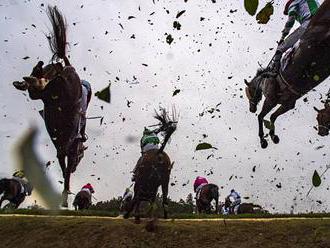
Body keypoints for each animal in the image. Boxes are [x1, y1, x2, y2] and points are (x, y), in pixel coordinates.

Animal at [12, 6, 88, 207]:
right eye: (81, 156)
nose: (77, 165)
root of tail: (68, 67)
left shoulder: (62, 149)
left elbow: (63, 166)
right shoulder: (68, 150)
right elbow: (66, 171)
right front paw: (65, 197)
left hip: (49, 80)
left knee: (39, 89)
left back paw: (32, 77)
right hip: (63, 82)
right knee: (48, 84)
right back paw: (35, 79)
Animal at [244, 0, 330, 148]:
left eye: (248, 92)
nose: (251, 109)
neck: (264, 81)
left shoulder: (271, 99)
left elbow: (261, 116)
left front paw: (263, 139)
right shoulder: (287, 104)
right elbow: (272, 117)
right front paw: (273, 136)